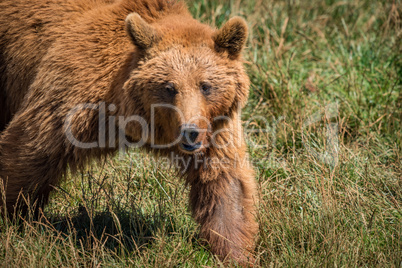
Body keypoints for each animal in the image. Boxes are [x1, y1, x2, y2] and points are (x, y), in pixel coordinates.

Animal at [0, 0, 258, 264]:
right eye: (169, 87)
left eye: (206, 86)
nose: (190, 132)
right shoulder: (73, 97)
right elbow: (31, 148)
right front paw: (16, 218)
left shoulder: (215, 128)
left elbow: (225, 182)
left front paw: (234, 252)